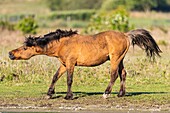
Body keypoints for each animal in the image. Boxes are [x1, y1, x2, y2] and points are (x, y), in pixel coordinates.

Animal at [9, 28, 162, 100]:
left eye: (25, 48)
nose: (10, 53)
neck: (63, 44)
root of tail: (126, 35)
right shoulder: (64, 64)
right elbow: (55, 77)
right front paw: (49, 94)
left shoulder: (70, 64)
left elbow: (69, 80)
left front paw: (68, 96)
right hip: (120, 60)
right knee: (123, 74)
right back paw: (120, 94)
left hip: (115, 59)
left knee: (113, 75)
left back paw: (106, 94)